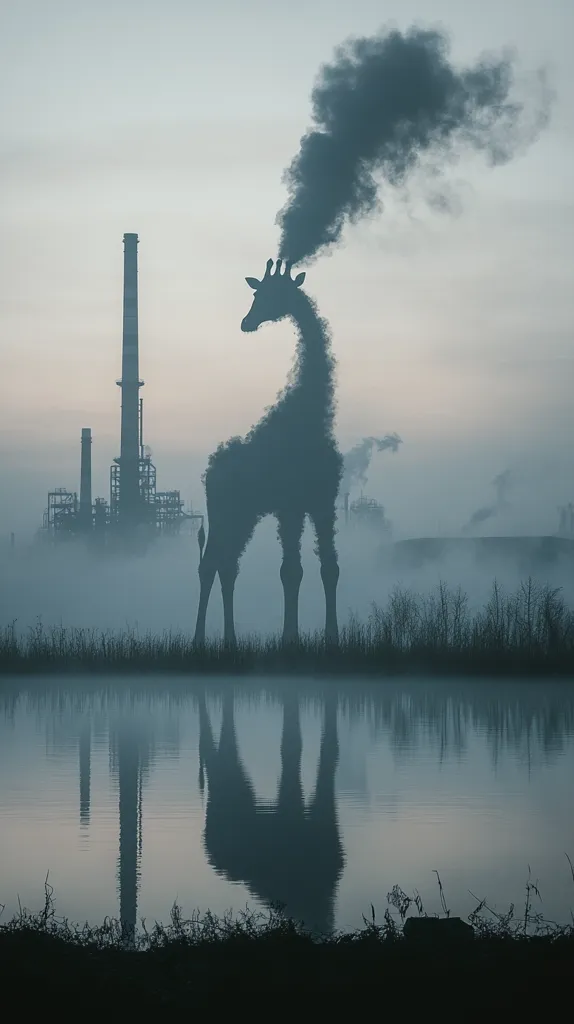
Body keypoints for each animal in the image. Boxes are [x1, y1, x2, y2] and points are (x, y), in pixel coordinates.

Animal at [194, 258, 343, 646]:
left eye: (272, 295)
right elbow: (291, 571)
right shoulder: (289, 506)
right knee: (209, 565)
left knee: (228, 566)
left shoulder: (323, 501)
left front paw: (332, 637)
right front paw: (290, 638)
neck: (310, 416)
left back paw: (230, 641)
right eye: (256, 294)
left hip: (242, 515)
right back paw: (199, 640)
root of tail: (209, 471)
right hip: (221, 512)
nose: (246, 322)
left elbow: (330, 567)